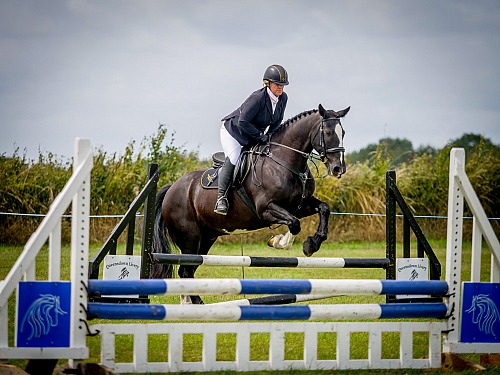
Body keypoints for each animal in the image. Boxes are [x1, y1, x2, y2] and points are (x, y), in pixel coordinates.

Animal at [150, 104, 350, 304]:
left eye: (343, 132)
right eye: (328, 132)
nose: (338, 169)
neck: (285, 163)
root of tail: (172, 188)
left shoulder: (300, 206)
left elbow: (323, 209)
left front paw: (312, 244)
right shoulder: (266, 209)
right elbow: (294, 224)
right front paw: (279, 242)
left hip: (207, 237)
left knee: (188, 269)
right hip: (190, 238)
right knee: (185, 269)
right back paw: (197, 302)